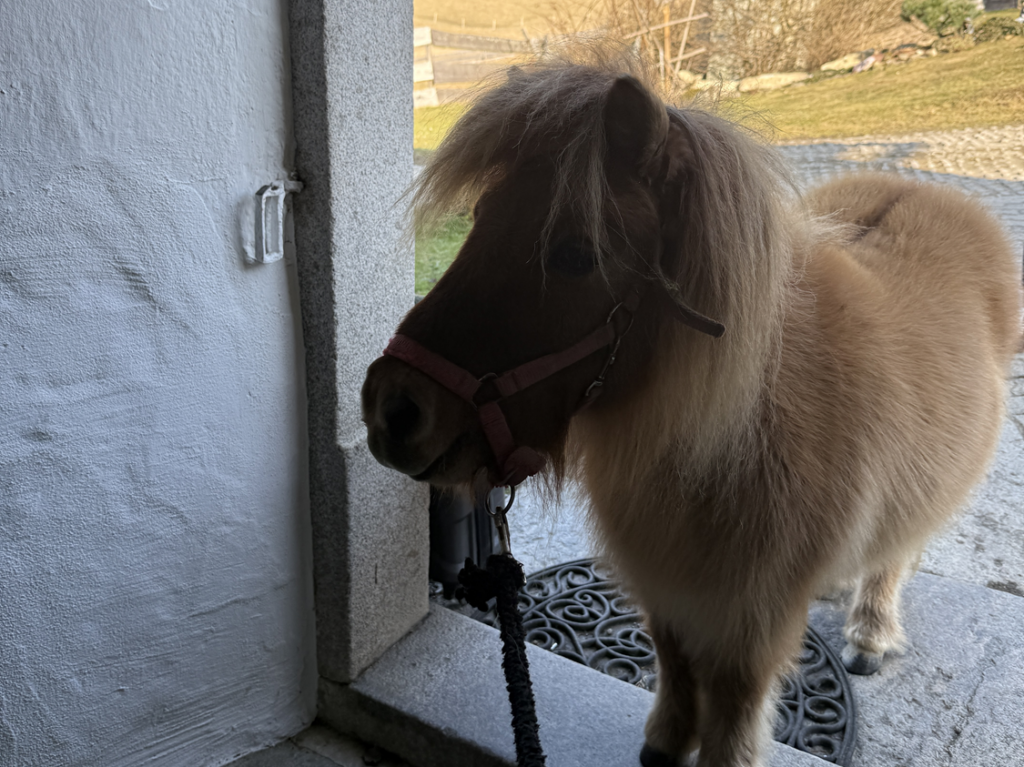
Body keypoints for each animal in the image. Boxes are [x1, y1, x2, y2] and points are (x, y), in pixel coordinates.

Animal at [361, 61, 1022, 767]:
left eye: (575, 255)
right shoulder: (666, 583)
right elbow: (674, 660)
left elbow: (733, 701)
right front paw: (666, 744)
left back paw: (871, 630)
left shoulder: (751, 619)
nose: (391, 408)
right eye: (481, 218)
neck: (727, 438)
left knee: (897, 550)